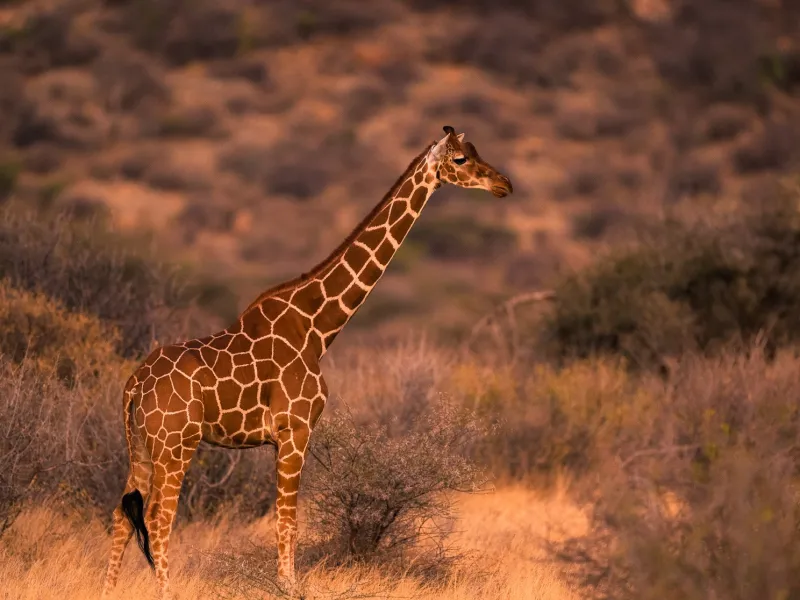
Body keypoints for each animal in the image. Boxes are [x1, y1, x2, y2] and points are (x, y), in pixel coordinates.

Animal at [101, 125, 513, 599]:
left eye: (477, 152)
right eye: (461, 159)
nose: (504, 184)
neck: (318, 328)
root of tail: (134, 384)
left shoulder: (282, 436)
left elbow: (284, 520)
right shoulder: (295, 430)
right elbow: (288, 522)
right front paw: (287, 585)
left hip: (141, 445)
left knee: (121, 514)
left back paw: (107, 591)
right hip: (175, 444)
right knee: (157, 518)